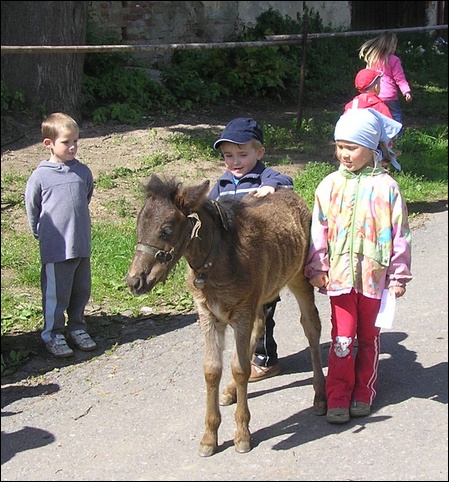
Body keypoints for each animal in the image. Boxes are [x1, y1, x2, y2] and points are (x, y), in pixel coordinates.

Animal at [126, 173, 326, 456]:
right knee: (260, 325)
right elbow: (212, 369)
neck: (217, 260)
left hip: (299, 277)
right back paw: (230, 391)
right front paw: (209, 437)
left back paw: (320, 397)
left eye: (166, 229)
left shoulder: (241, 311)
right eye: (139, 227)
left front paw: (242, 434)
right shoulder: (209, 315)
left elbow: (240, 368)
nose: (134, 281)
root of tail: (294, 196)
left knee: (311, 326)